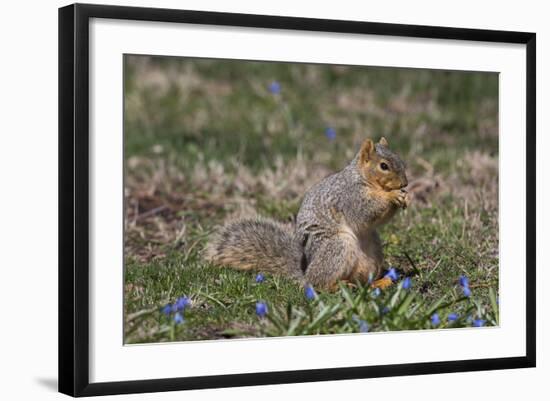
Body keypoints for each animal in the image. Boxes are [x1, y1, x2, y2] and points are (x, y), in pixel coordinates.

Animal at [205, 138, 412, 290]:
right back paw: (339, 285)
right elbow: (367, 211)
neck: (362, 177)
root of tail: (306, 273)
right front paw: (392, 195)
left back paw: (380, 281)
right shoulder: (349, 196)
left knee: (363, 282)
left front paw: (406, 196)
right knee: (319, 284)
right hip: (337, 246)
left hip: (373, 251)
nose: (405, 183)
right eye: (383, 166)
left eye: (401, 161)